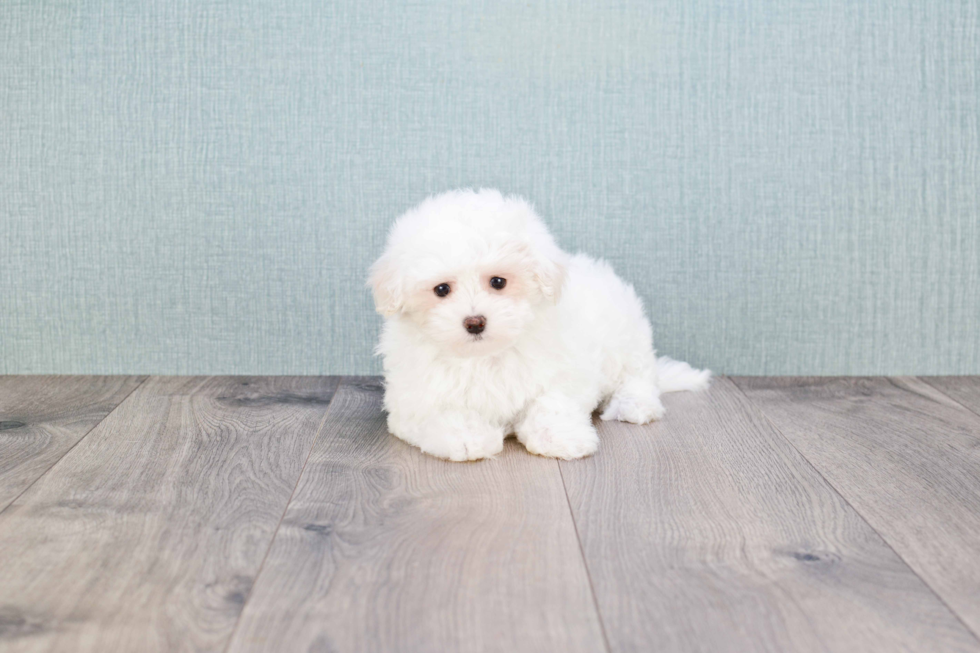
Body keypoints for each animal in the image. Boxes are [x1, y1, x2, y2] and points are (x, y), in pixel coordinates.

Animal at [372, 190, 708, 464]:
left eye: (498, 282)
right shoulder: (413, 398)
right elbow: (443, 414)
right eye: (441, 289)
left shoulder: (564, 370)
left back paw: (634, 405)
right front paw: (467, 437)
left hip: (626, 340)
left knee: (638, 378)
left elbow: (551, 404)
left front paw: (561, 436)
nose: (475, 322)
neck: (486, 357)